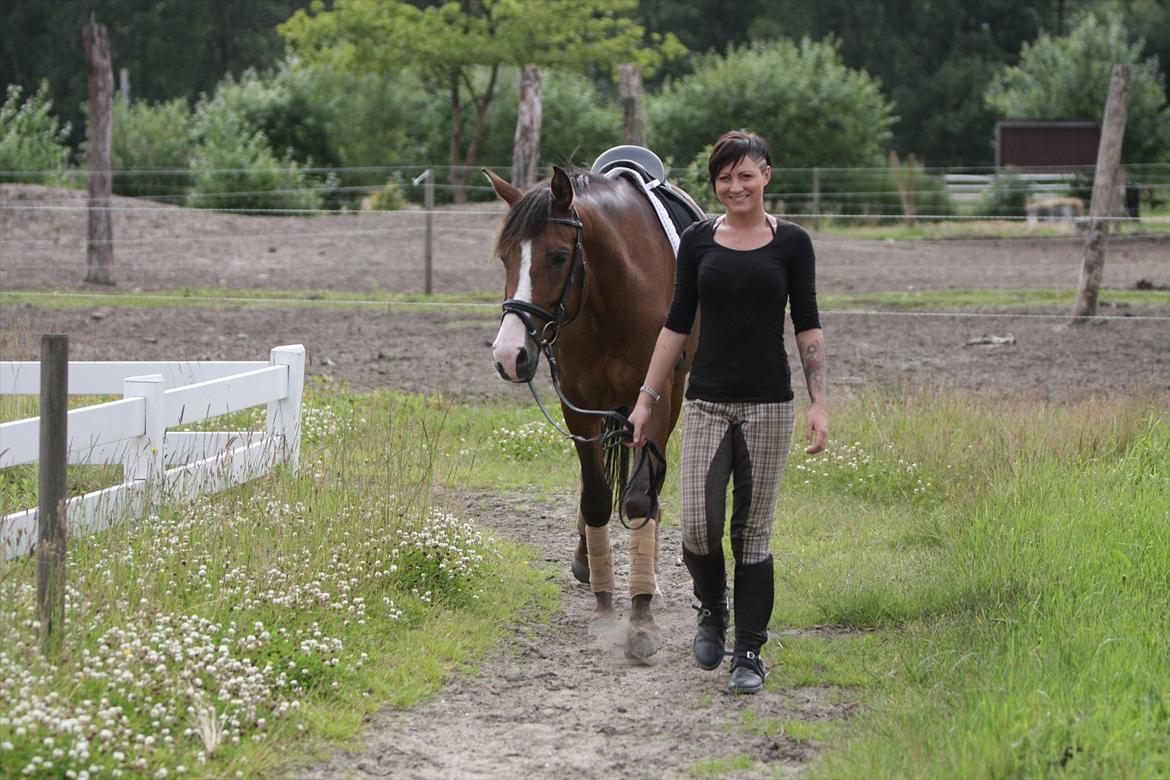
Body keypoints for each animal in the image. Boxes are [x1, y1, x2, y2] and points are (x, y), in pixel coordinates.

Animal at [482, 163, 692, 659]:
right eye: (505, 259)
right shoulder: (577, 405)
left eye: (559, 257)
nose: (509, 354)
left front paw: (641, 614)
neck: (612, 296)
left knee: (650, 485)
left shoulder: (654, 400)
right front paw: (604, 607)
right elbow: (595, 497)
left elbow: (639, 497)